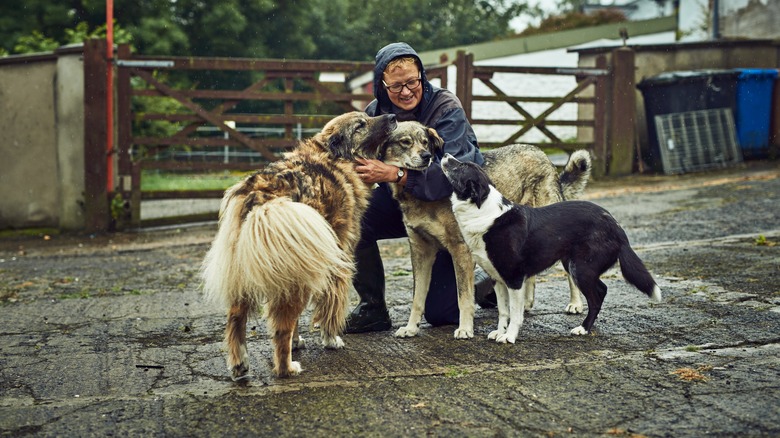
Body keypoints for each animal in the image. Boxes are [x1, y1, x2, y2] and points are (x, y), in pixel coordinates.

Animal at [201, 111, 396, 378]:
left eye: (367, 116)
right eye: (360, 125)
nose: (393, 116)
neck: (333, 157)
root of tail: (262, 196)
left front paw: (298, 342)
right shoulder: (337, 260)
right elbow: (329, 307)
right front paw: (330, 339)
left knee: (236, 318)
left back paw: (240, 364)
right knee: (281, 326)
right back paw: (287, 368)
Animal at [382, 121, 592, 340]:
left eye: (425, 142)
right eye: (405, 142)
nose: (426, 156)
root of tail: (542, 153)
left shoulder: (461, 251)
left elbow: (463, 297)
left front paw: (465, 328)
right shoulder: (420, 252)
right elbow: (417, 298)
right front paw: (411, 328)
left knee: (569, 274)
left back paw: (575, 303)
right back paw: (526, 303)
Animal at [442, 154, 660, 342]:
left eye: (461, 167)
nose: (445, 155)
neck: (484, 212)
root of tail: (616, 226)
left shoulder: (514, 279)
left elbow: (515, 313)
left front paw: (509, 337)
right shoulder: (497, 278)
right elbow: (504, 312)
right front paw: (499, 332)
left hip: (581, 268)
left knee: (597, 296)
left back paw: (583, 328)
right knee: (602, 290)